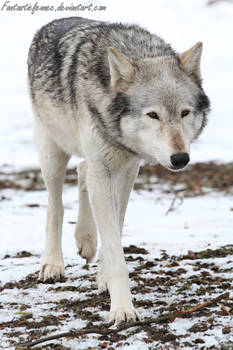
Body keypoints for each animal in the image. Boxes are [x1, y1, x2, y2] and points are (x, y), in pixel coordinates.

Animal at [26, 16, 209, 326]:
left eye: (184, 113)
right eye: (153, 115)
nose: (180, 158)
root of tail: (53, 22)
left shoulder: (127, 169)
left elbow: (116, 227)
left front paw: (105, 277)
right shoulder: (105, 169)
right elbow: (113, 243)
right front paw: (122, 309)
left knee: (83, 171)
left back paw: (86, 241)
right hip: (53, 150)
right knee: (55, 204)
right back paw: (52, 264)